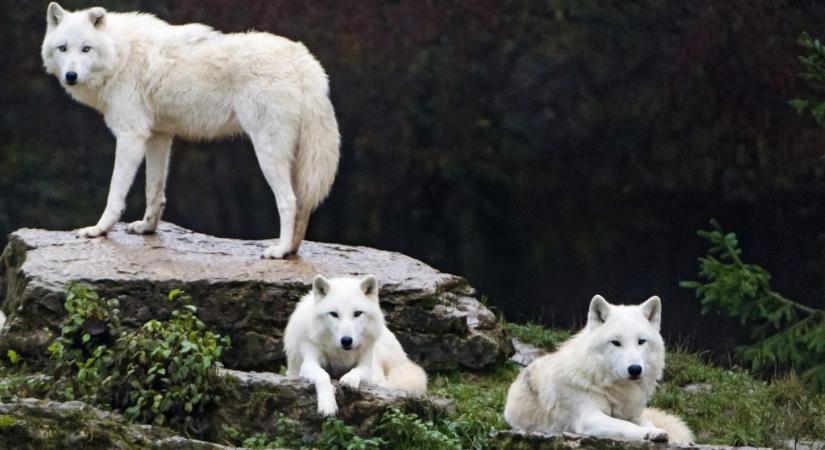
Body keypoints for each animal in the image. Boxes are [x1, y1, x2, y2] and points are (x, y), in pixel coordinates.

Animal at [40, 3, 338, 258]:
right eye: (63, 48)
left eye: (86, 49)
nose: (71, 76)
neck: (120, 55)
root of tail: (304, 61)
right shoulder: (158, 136)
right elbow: (154, 190)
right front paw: (147, 228)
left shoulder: (131, 136)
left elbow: (115, 194)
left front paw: (98, 230)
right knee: (304, 203)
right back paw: (292, 250)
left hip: (268, 152)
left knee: (289, 201)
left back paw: (279, 251)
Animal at [284, 272, 424, 416]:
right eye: (334, 314)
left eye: (357, 313)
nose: (346, 340)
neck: (340, 355)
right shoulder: (309, 361)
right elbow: (323, 375)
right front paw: (327, 405)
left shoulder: (367, 365)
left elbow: (357, 370)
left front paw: (349, 380)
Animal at [506, 296, 692, 442]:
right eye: (616, 342)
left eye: (641, 341)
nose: (635, 369)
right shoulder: (590, 417)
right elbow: (625, 425)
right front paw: (646, 433)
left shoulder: (633, 414)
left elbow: (645, 421)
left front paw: (654, 431)